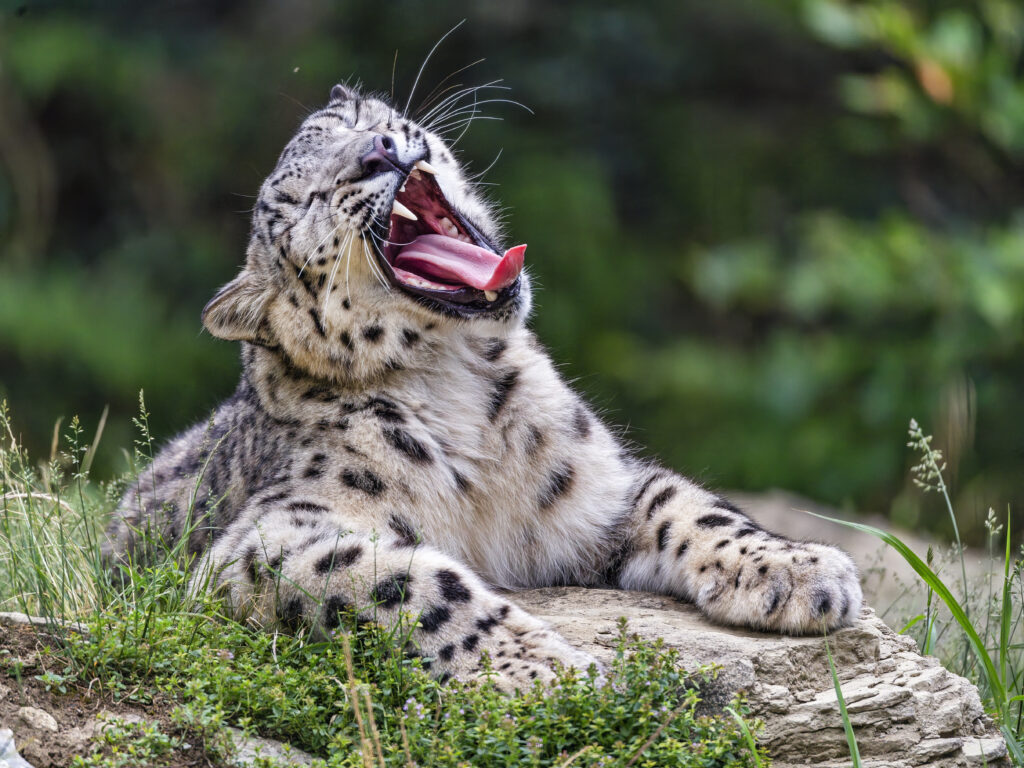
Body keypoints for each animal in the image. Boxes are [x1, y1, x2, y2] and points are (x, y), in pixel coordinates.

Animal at [104, 82, 863, 691]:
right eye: (301, 203)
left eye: (357, 118)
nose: (380, 148)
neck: (462, 388)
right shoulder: (270, 537)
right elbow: (406, 582)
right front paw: (543, 669)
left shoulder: (597, 491)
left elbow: (693, 507)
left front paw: (800, 570)